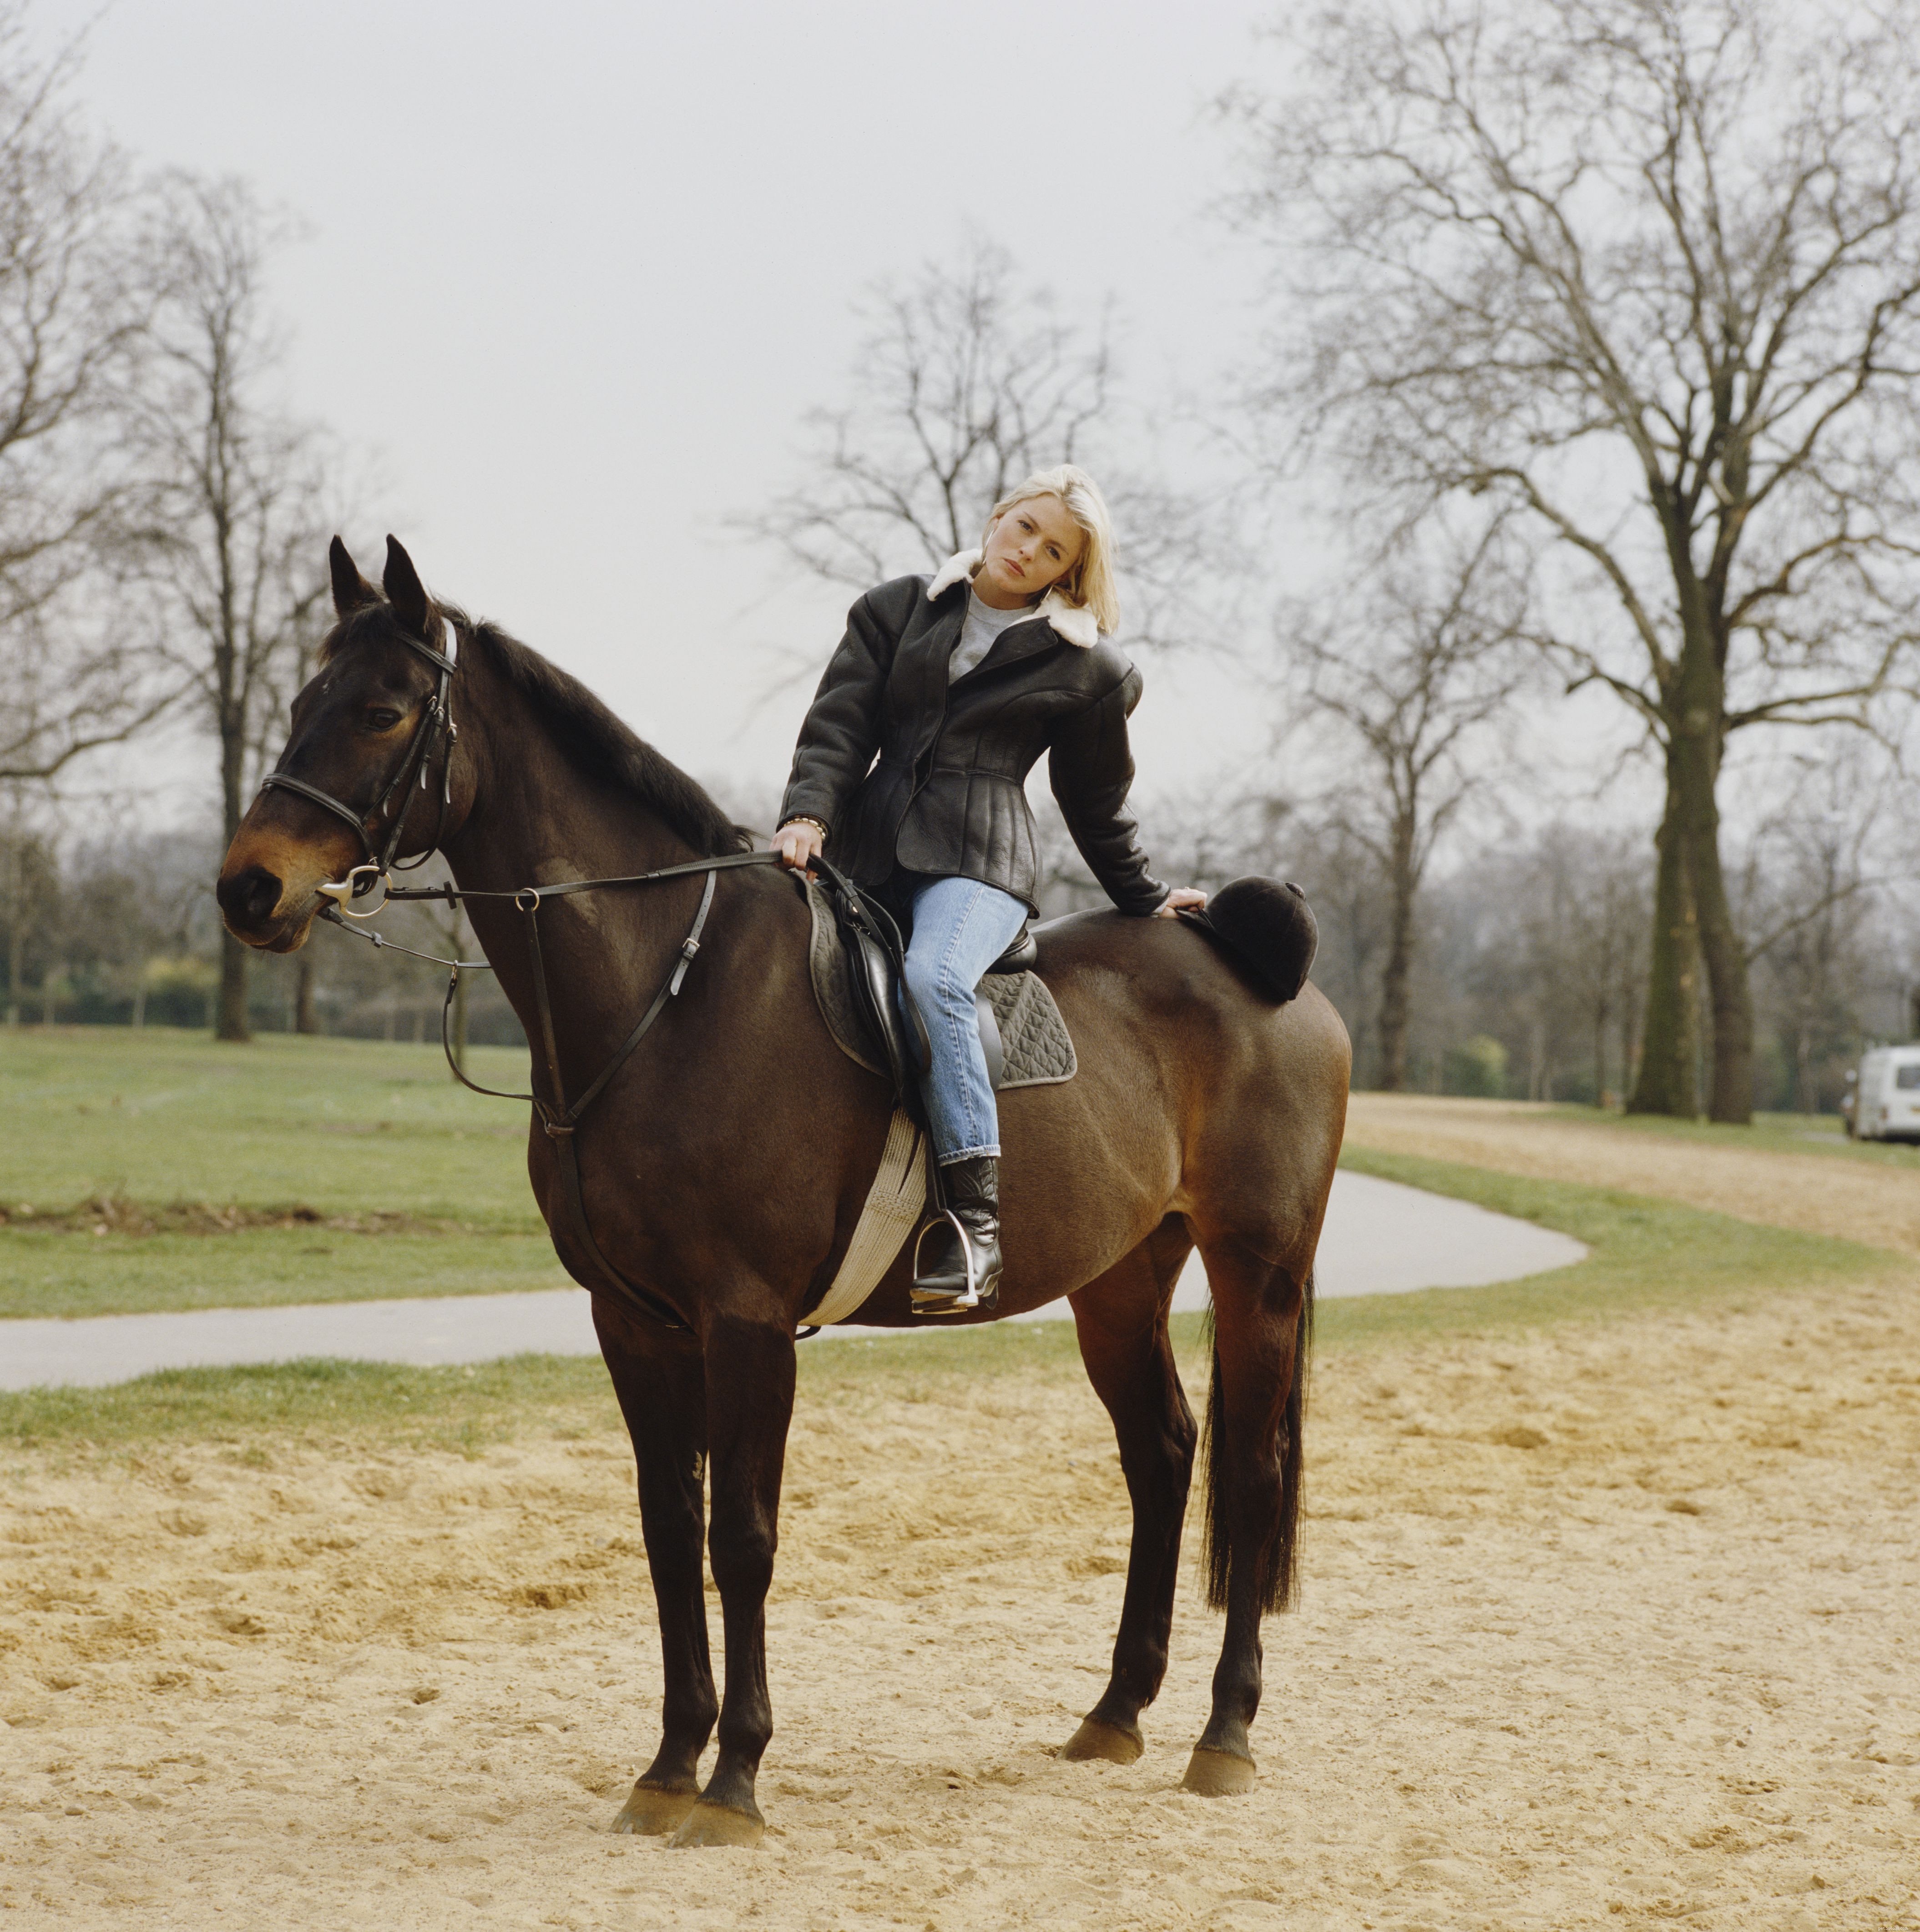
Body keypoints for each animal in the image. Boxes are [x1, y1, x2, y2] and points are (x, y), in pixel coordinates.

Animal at [216, 536, 1351, 1850]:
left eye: (383, 709)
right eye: (303, 700)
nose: (248, 888)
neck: (666, 983)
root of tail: (1257, 962)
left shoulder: (746, 1319)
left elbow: (741, 1537)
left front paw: (736, 1778)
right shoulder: (635, 1321)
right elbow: (669, 1530)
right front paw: (667, 1765)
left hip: (1257, 1271)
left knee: (1251, 1478)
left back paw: (1224, 1732)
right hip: (1119, 1280)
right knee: (1162, 1456)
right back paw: (1115, 1711)